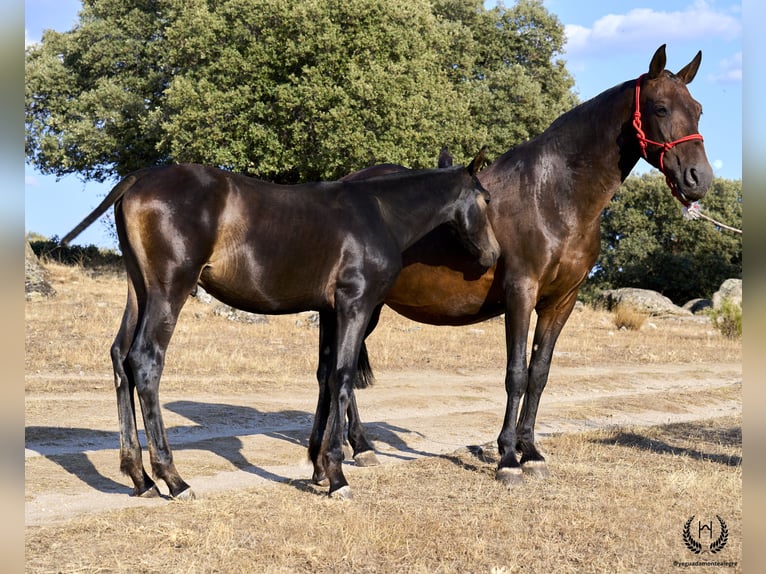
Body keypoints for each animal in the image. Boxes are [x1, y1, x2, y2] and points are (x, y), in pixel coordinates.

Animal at [61, 152, 504, 500]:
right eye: (485, 198)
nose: (493, 255)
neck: (378, 213)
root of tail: (139, 179)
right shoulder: (355, 305)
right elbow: (343, 376)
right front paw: (337, 475)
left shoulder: (329, 311)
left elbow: (326, 376)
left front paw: (319, 468)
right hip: (169, 291)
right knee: (145, 361)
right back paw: (173, 479)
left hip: (139, 291)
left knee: (120, 358)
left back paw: (140, 478)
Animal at [340, 44, 712, 486]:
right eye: (660, 108)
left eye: (698, 109)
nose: (699, 179)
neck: (554, 196)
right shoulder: (521, 290)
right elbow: (515, 373)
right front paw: (507, 459)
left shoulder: (561, 301)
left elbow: (539, 374)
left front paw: (531, 452)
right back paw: (360, 447)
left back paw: (357, 445)